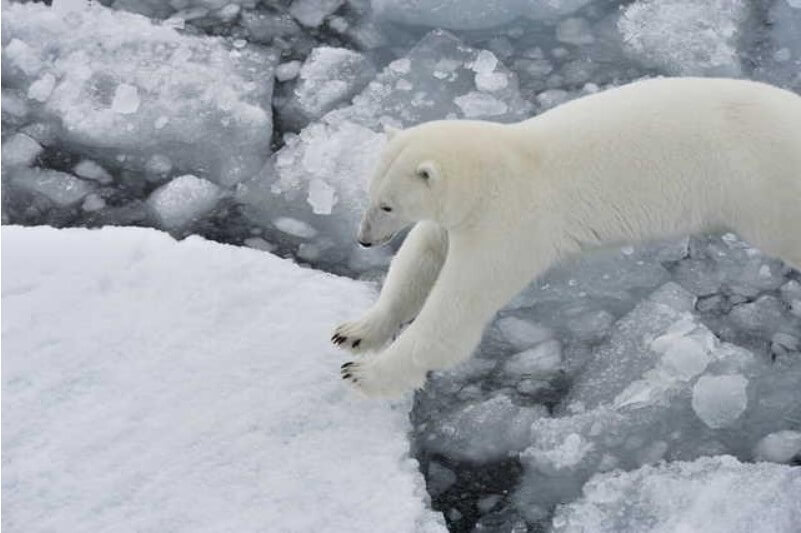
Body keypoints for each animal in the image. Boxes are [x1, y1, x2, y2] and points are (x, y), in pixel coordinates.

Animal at [328, 78, 796, 394]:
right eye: (370, 193)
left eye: (388, 206)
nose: (364, 239)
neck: (499, 169)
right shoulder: (461, 219)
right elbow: (419, 259)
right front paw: (355, 330)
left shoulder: (509, 223)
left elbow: (455, 314)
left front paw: (363, 373)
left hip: (765, 188)